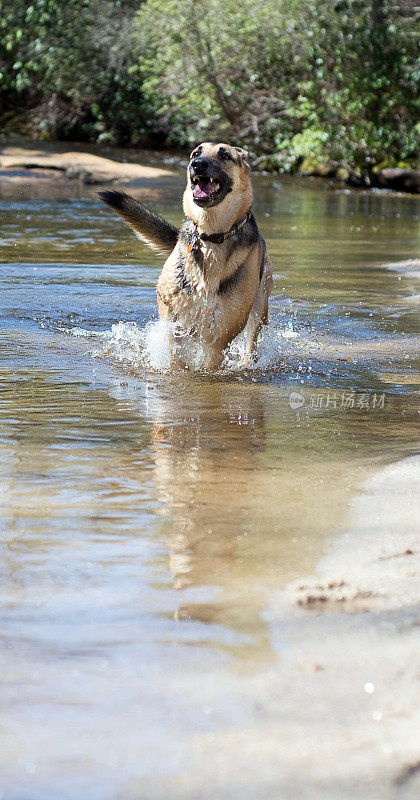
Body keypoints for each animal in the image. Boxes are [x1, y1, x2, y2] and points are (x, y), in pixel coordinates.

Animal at [100, 141, 274, 368]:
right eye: (195, 153)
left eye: (225, 155)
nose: (198, 164)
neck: (211, 235)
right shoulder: (171, 313)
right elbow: (175, 357)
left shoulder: (221, 335)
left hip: (259, 309)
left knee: (251, 343)